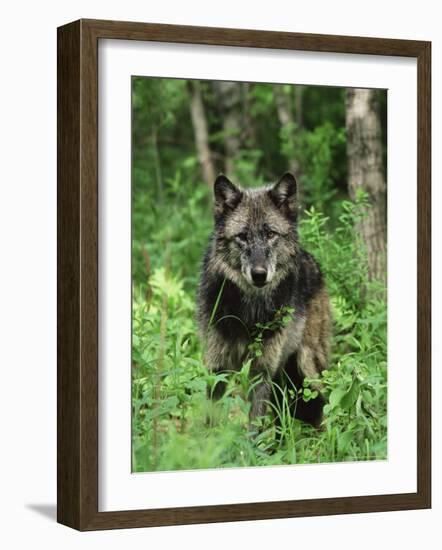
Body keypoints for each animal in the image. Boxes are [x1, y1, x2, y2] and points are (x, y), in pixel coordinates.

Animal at [198, 175, 332, 430]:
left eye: (270, 234)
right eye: (242, 236)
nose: (259, 274)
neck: (248, 313)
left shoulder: (261, 371)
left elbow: (254, 426)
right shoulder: (217, 366)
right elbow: (210, 418)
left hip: (307, 368)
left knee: (325, 407)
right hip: (283, 378)